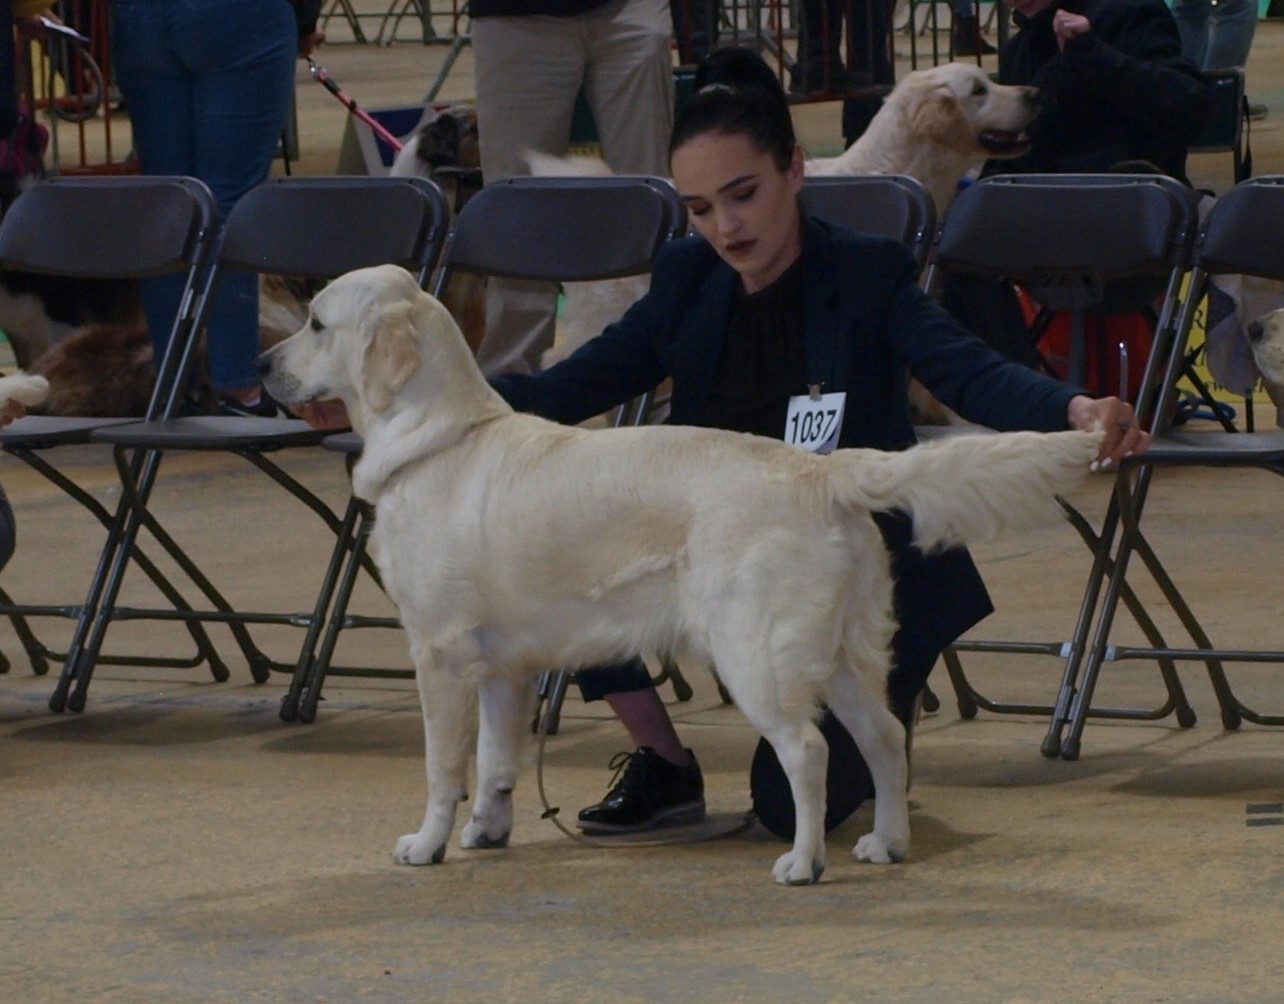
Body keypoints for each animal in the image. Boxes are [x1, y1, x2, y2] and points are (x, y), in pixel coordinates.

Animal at [260, 261, 1104, 888]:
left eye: (317, 323)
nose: (263, 365)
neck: (438, 435)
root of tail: (820, 471)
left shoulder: (438, 652)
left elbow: (445, 765)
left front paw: (427, 842)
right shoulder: (504, 665)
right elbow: (498, 762)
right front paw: (485, 830)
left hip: (757, 653)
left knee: (809, 752)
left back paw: (804, 862)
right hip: (842, 653)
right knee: (886, 738)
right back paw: (885, 844)